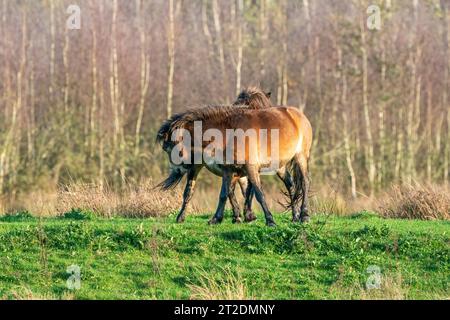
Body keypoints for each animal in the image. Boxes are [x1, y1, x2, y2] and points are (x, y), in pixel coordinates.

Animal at [158, 99, 312, 225]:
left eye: (170, 148)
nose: (179, 170)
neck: (229, 133)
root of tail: (299, 115)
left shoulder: (250, 168)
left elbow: (258, 193)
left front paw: (269, 220)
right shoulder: (228, 169)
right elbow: (224, 193)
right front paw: (216, 219)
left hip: (301, 157)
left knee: (305, 182)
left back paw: (304, 215)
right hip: (280, 166)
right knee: (290, 184)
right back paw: (295, 216)